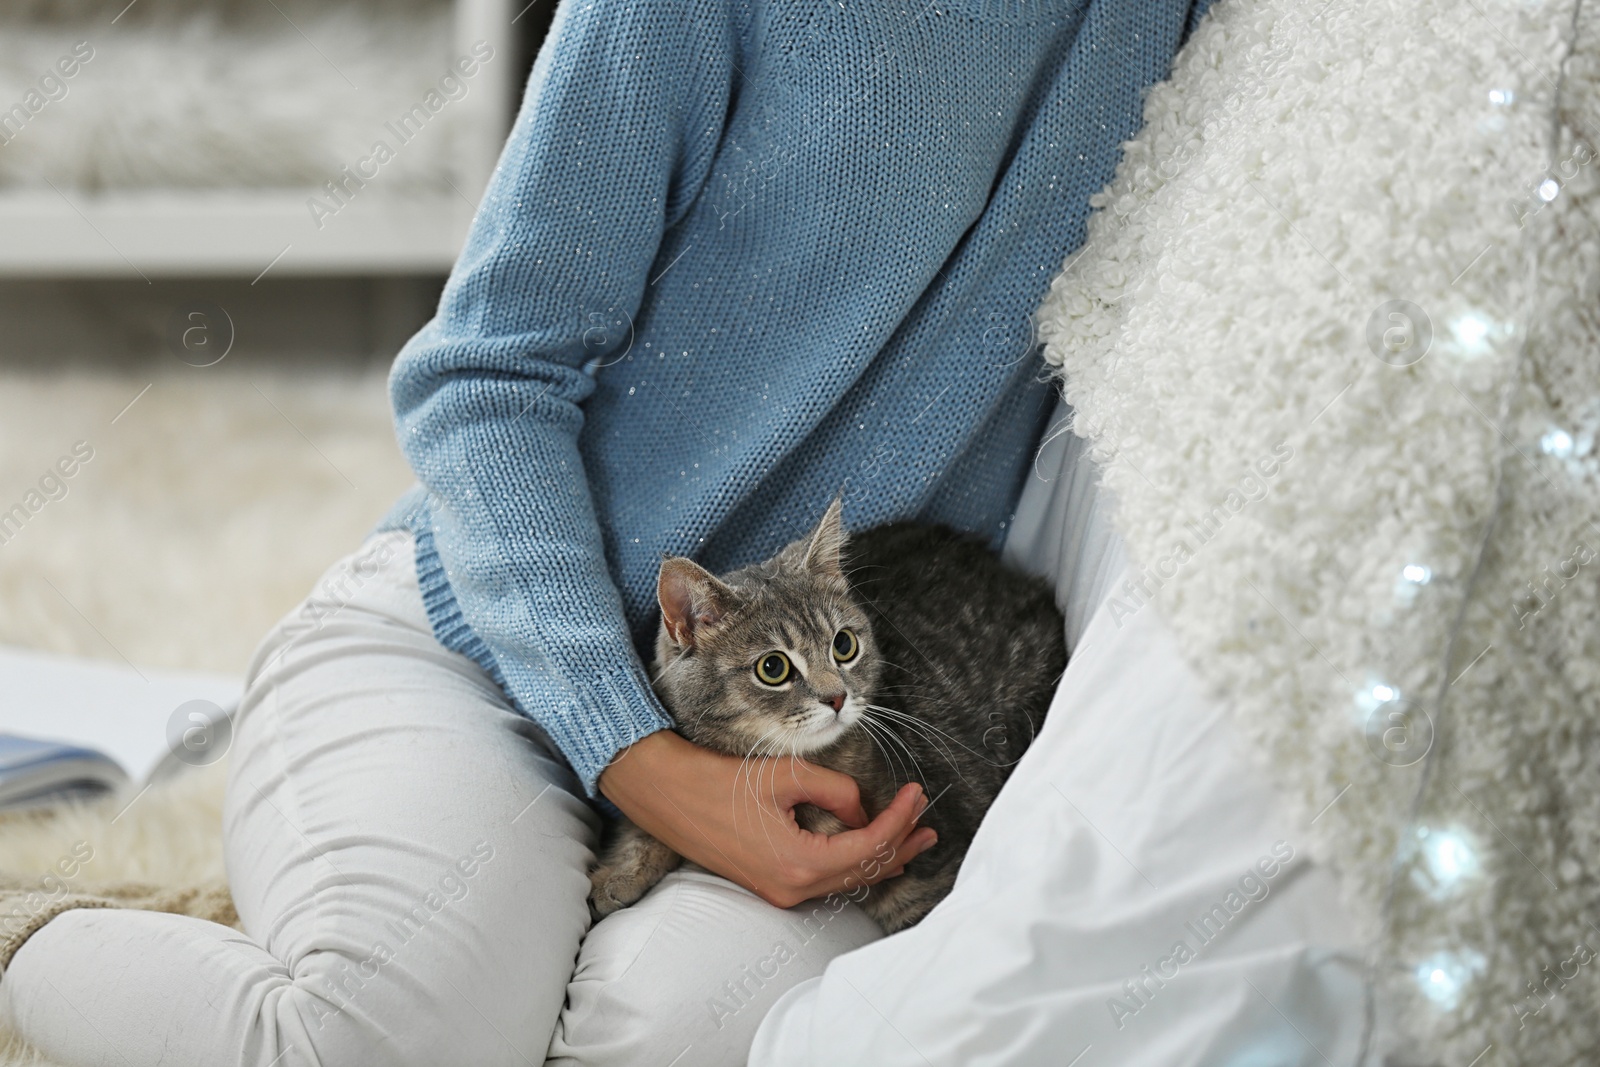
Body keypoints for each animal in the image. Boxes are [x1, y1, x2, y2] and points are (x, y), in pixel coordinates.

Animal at [588, 495, 1062, 927]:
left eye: (844, 645)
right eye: (773, 668)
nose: (836, 698)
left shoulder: (933, 858)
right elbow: (647, 823)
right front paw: (620, 873)